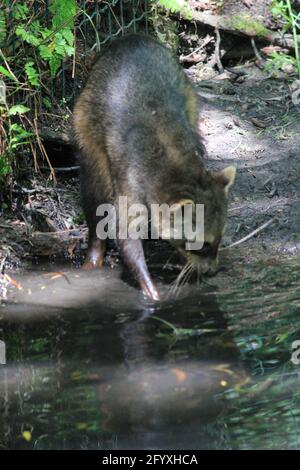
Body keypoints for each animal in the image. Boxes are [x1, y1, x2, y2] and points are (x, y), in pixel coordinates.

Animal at [72, 35, 234, 302]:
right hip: (85, 119)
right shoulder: (131, 178)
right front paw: (145, 279)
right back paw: (95, 247)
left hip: (187, 93)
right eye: (202, 244)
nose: (212, 271)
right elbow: (124, 232)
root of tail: (132, 38)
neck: (175, 166)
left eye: (219, 239)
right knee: (94, 189)